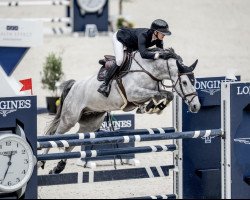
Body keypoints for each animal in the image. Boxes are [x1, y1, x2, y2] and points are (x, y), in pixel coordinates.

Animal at [41, 48, 201, 173]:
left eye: (194, 82)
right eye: (185, 82)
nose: (196, 106)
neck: (149, 70)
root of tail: (74, 85)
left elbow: (167, 94)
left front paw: (153, 107)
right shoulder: (133, 94)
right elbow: (161, 94)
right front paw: (152, 107)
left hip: (91, 123)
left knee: (74, 141)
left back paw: (59, 167)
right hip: (69, 119)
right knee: (55, 136)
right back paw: (42, 162)